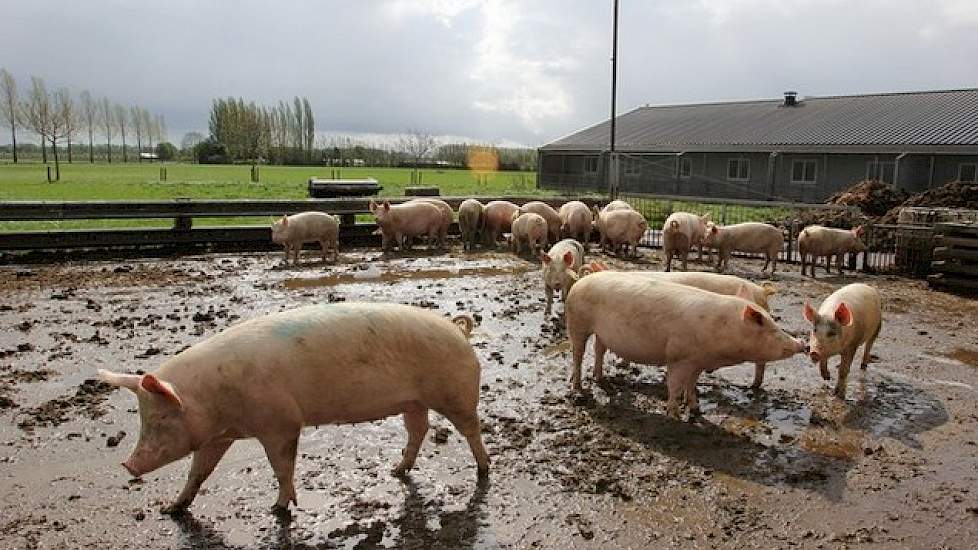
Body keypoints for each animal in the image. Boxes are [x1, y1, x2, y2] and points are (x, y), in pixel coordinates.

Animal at [99, 304, 488, 516]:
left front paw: (277, 509)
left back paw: (483, 470)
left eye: (162, 418)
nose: (128, 464)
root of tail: (458, 331)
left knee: (471, 430)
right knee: (418, 429)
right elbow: (198, 473)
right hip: (413, 401)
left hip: (455, 393)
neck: (214, 398)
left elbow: (282, 466)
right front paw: (172, 509)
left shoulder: (281, 422)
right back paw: (396, 470)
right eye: (144, 418)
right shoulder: (216, 436)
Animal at [560, 274, 804, 420]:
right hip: (577, 323)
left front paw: (696, 410)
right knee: (578, 354)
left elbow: (692, 384)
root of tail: (580, 281)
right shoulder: (679, 357)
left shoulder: (698, 361)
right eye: (768, 326)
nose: (801, 343)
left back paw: (602, 380)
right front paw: (674, 415)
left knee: (599, 351)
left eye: (775, 322)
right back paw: (578, 389)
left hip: (601, 334)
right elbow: (675, 386)